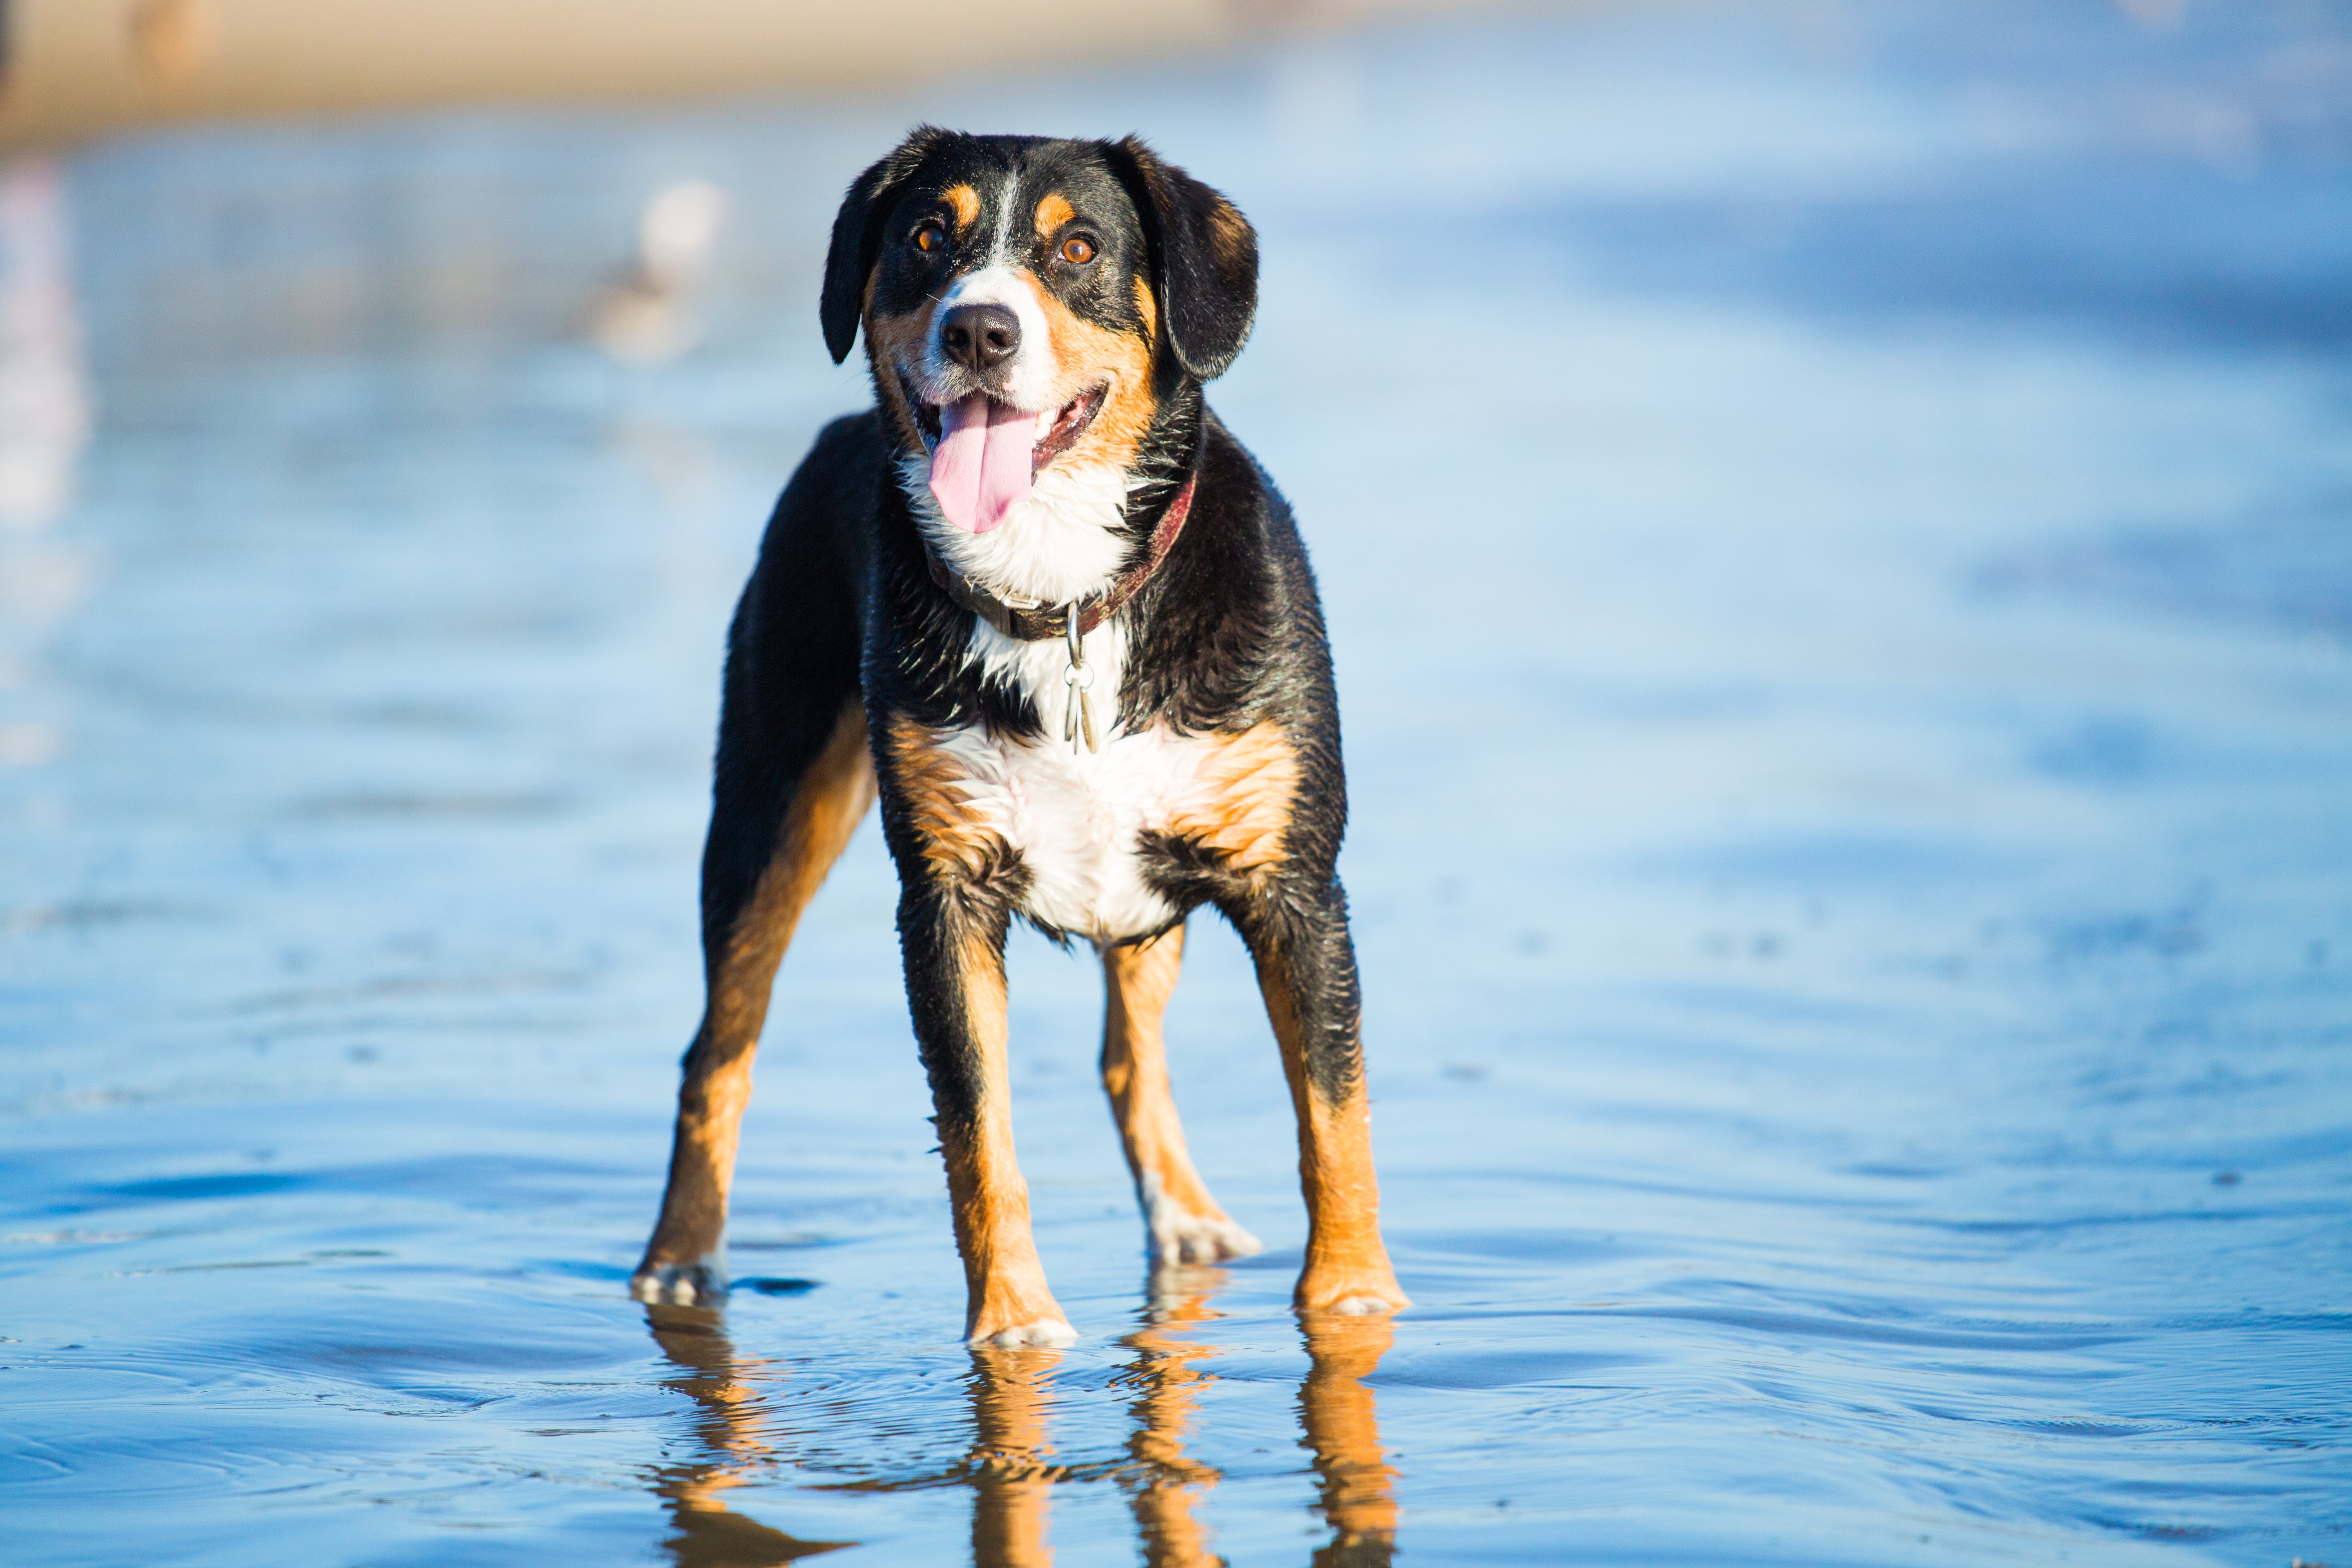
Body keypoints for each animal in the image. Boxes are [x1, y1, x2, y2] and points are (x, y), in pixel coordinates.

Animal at [626, 129, 1401, 1354]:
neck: (1063, 596)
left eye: (1076, 247)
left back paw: (1186, 1220)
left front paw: (1353, 1302)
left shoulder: (1295, 887)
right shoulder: (944, 902)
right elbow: (979, 1134)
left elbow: (1334, 1115)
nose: (979, 330)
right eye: (924, 238)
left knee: (1131, 1057)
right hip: (768, 814)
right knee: (718, 1050)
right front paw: (1014, 1325)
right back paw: (679, 1260)